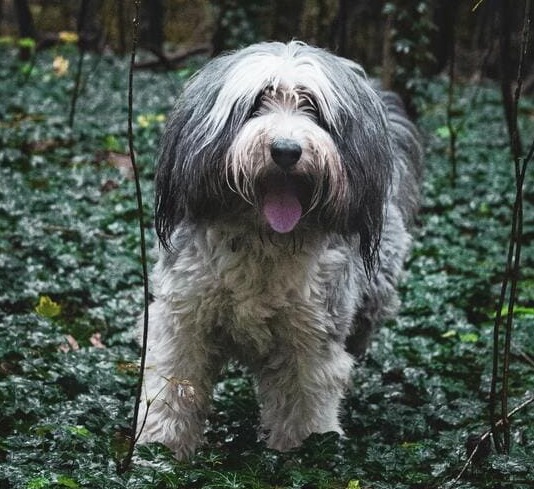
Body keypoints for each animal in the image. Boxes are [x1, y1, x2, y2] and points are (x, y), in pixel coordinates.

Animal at [136, 39, 426, 458]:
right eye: (258, 101)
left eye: (313, 107)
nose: (286, 150)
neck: (265, 238)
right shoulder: (183, 321)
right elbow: (173, 389)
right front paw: (159, 452)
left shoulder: (311, 338)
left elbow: (303, 405)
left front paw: (302, 455)